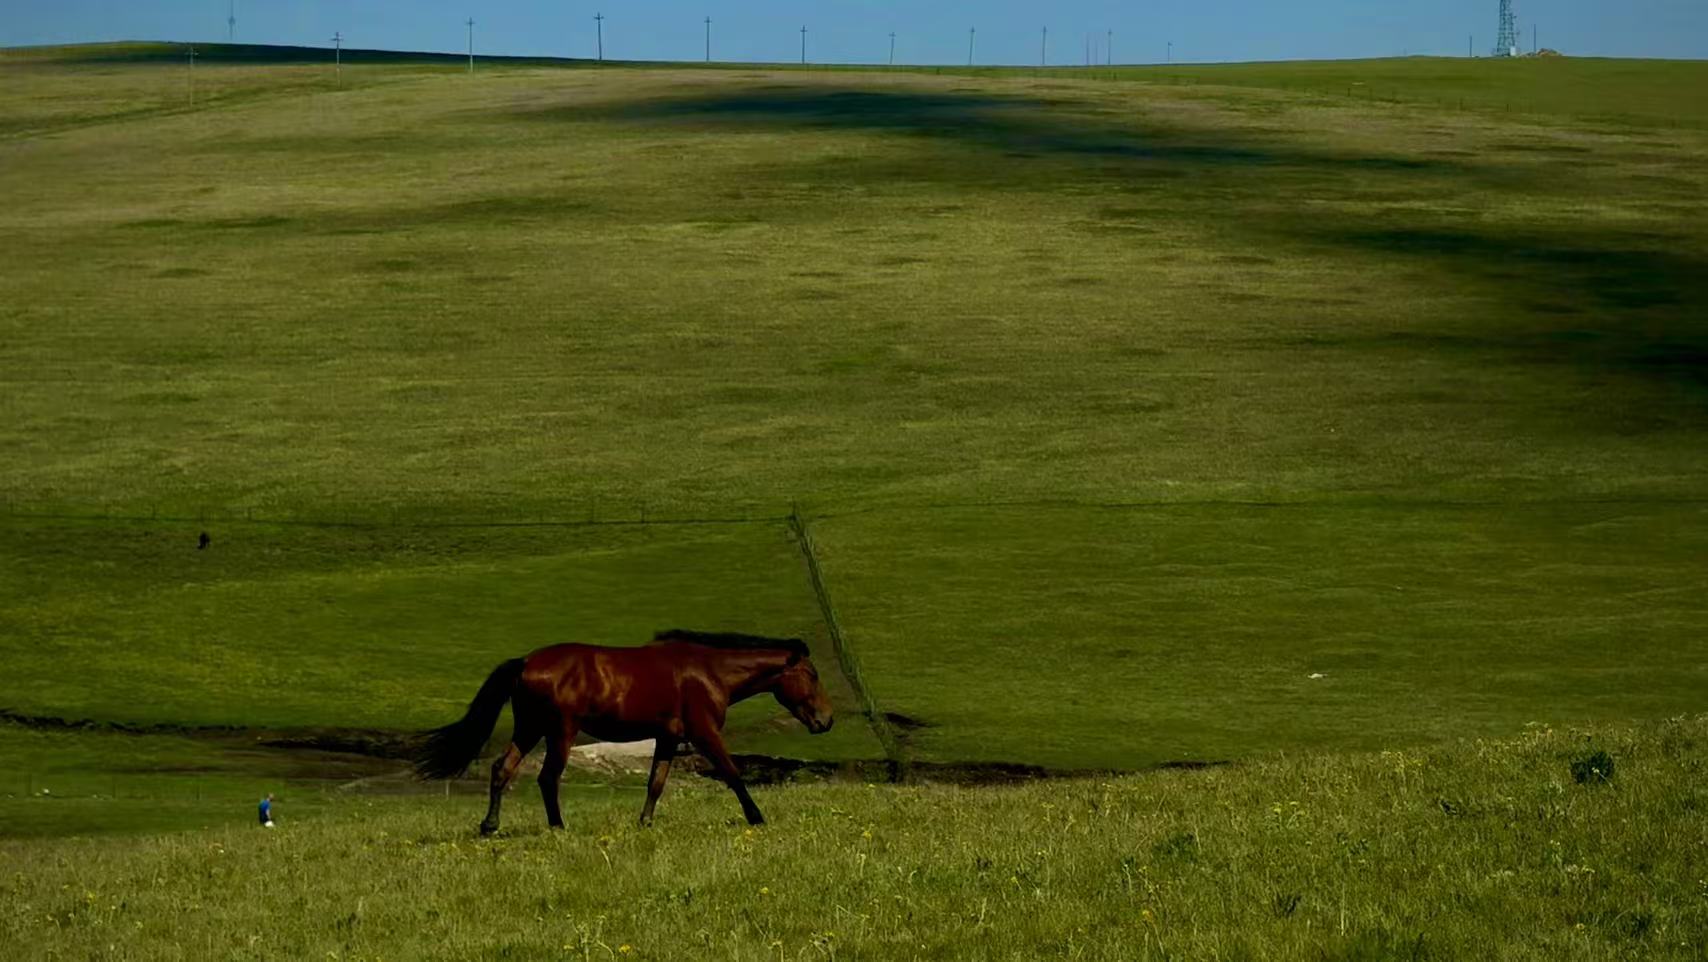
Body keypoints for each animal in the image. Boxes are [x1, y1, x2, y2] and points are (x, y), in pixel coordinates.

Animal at [413, 629, 835, 833]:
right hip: (560, 732)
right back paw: (557, 826)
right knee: (548, 777)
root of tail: (526, 662)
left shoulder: (668, 739)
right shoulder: (704, 733)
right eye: (812, 675)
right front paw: (756, 817)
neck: (710, 672)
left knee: (503, 768)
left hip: (530, 728)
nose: (826, 721)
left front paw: (644, 823)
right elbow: (732, 773)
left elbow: (656, 783)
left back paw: (490, 825)